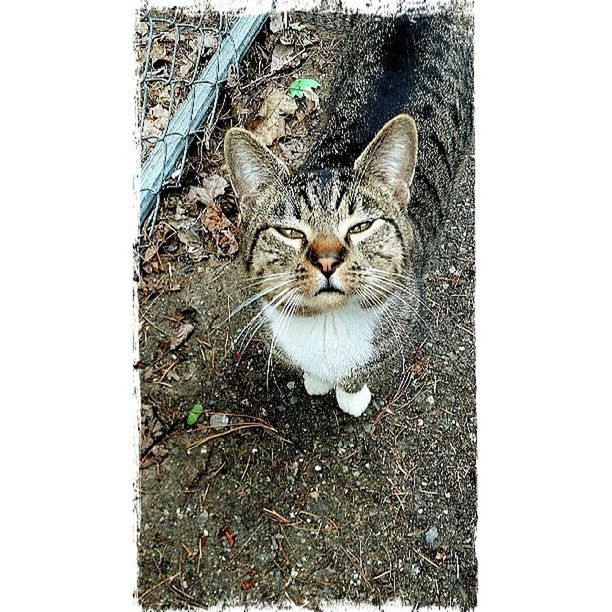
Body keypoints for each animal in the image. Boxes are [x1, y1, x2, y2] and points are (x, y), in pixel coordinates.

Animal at [222, 8, 470, 416]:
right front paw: (317, 380)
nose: (327, 261)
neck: (329, 323)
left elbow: (358, 371)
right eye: (290, 232)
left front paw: (350, 395)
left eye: (361, 227)